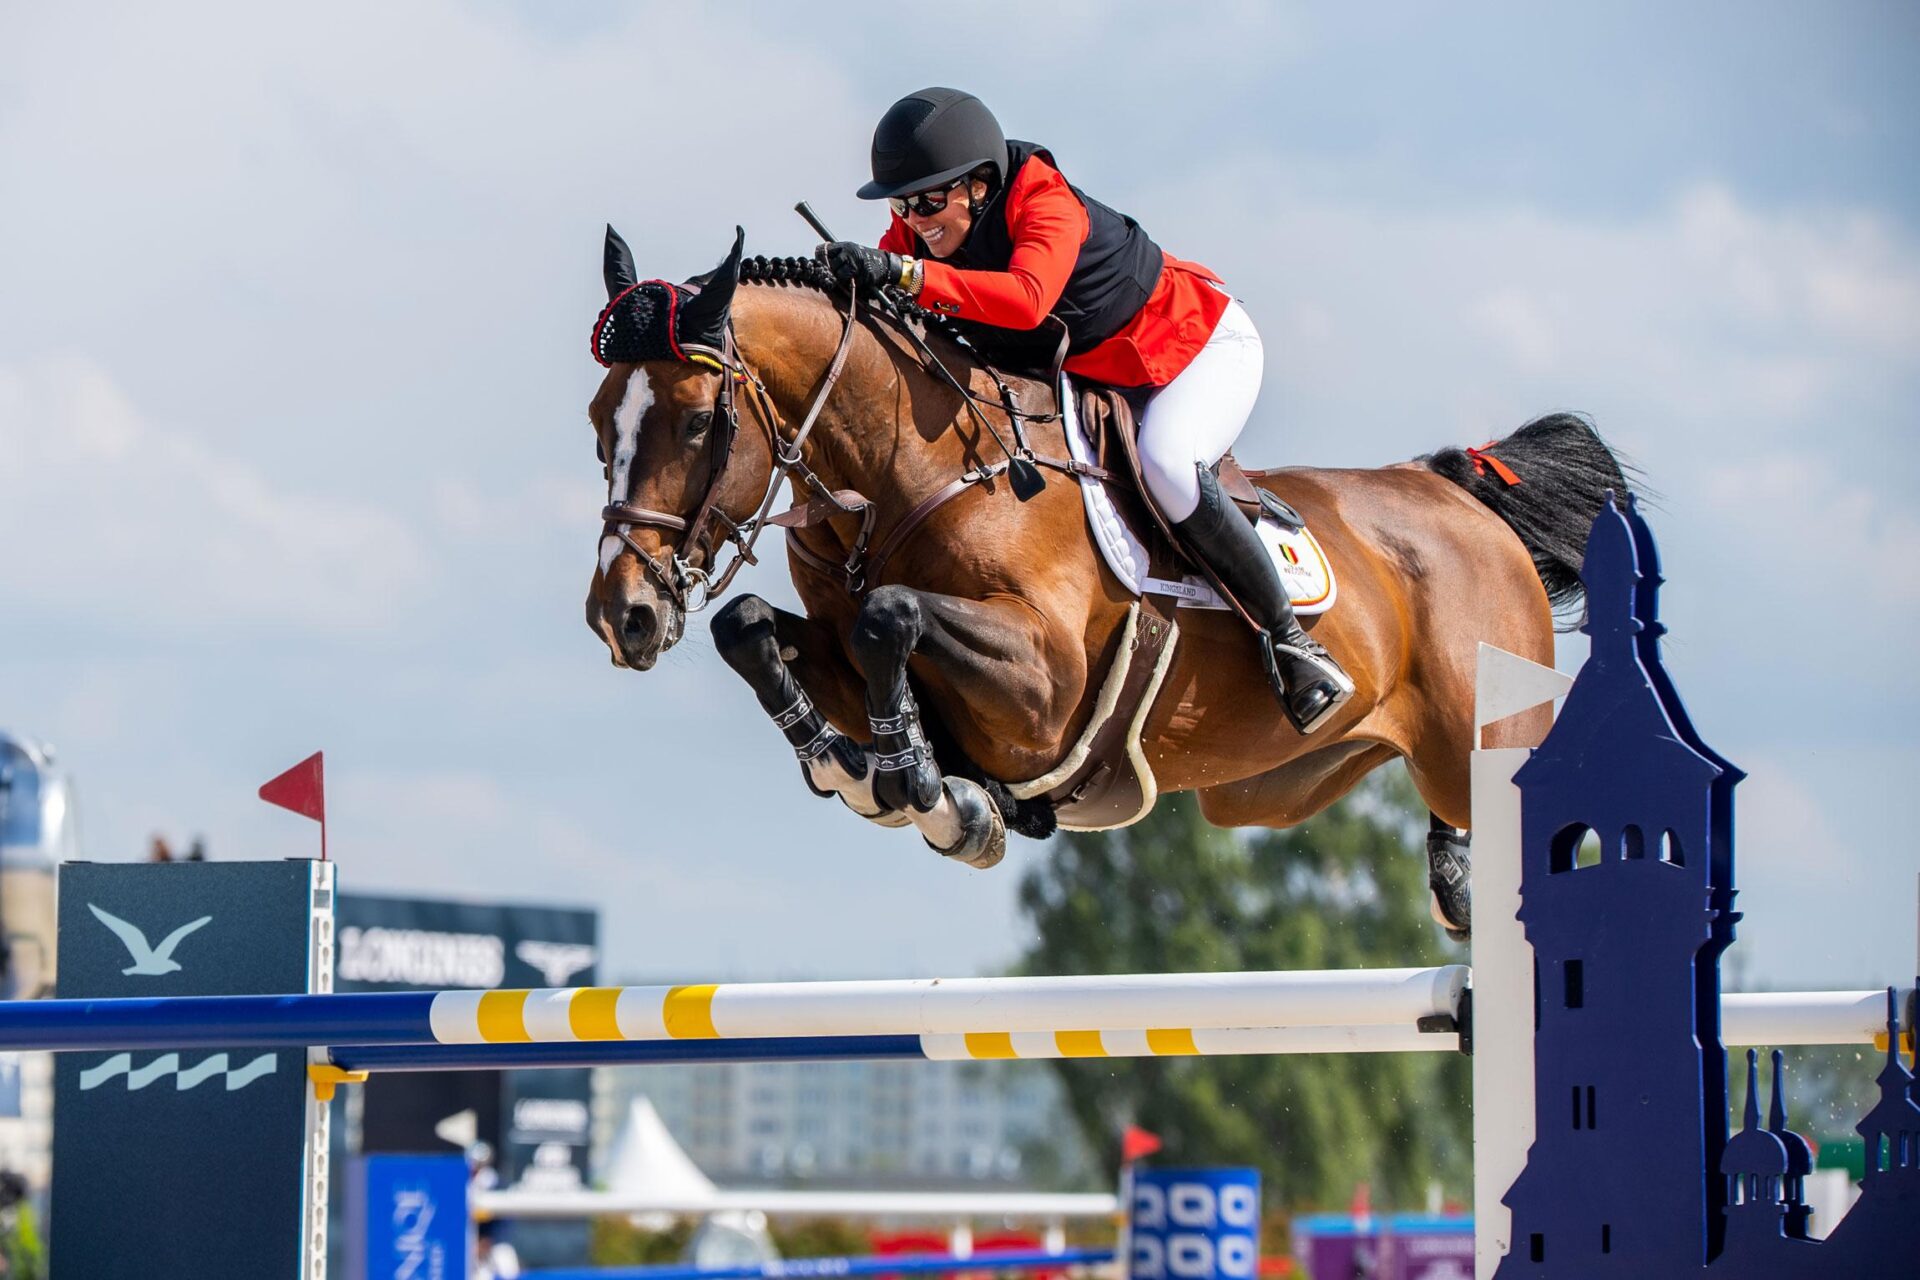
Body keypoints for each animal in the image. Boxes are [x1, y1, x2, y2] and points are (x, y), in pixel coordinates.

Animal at [579, 225, 1620, 936]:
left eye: (699, 423)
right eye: (598, 424)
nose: (622, 616)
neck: (906, 473)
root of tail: (1464, 502)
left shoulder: (1047, 685)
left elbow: (890, 615)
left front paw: (920, 784)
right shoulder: (850, 647)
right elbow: (753, 626)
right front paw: (859, 764)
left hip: (1477, 730)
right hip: (1282, 788)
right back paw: (1454, 883)